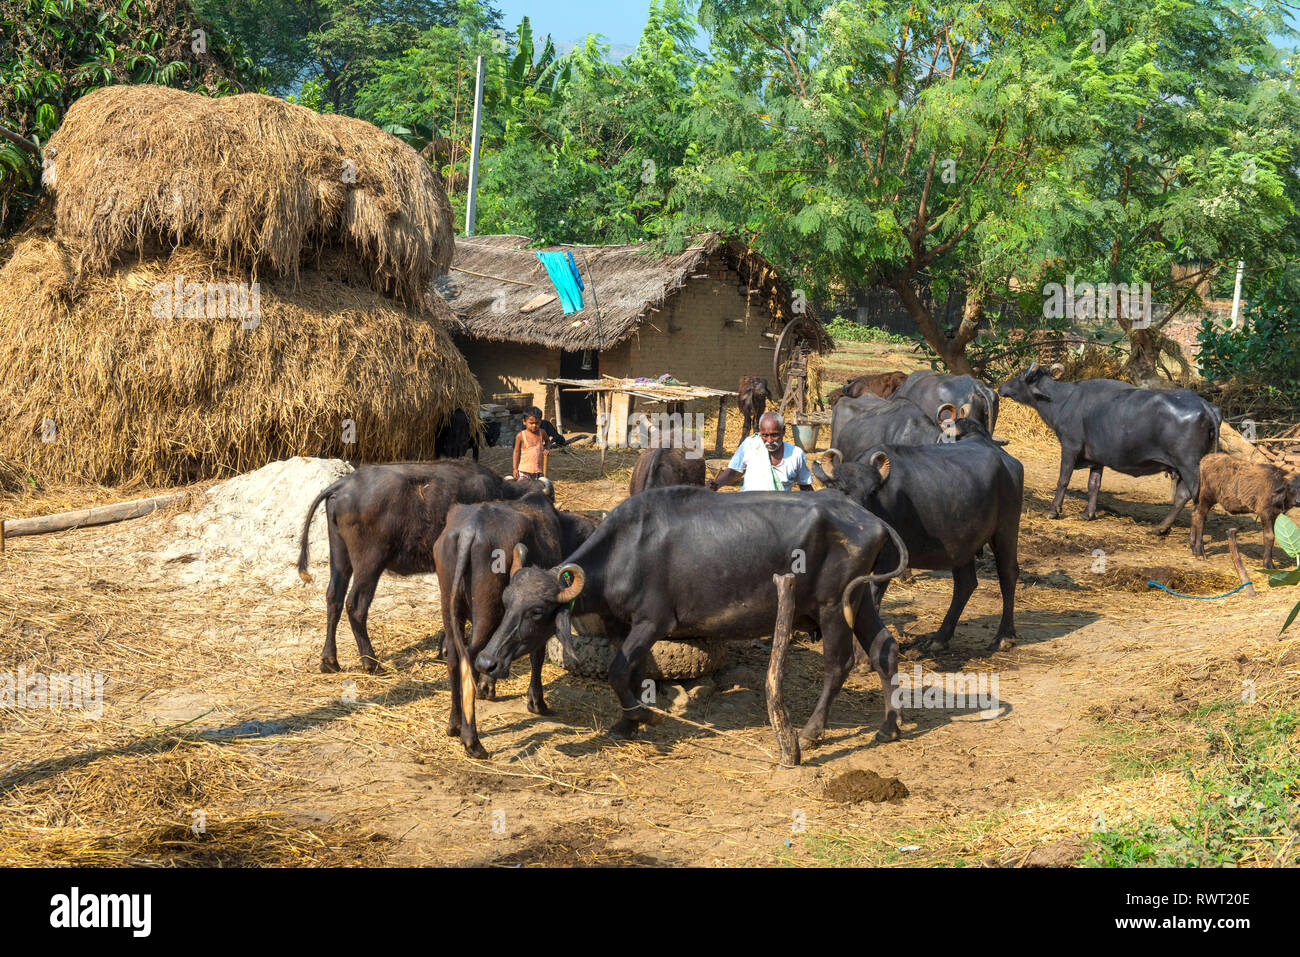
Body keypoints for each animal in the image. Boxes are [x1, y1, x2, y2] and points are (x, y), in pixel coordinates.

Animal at [297, 462, 551, 670]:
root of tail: (343, 484)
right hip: (369, 562)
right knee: (356, 605)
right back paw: (371, 663)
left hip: (340, 556)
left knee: (334, 598)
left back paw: (329, 661)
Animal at [436, 494, 598, 754]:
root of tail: (469, 529)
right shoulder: (539, 623)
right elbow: (536, 656)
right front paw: (536, 702)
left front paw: (488, 688)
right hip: (486, 613)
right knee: (469, 659)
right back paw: (472, 740)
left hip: (449, 607)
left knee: (453, 657)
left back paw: (454, 725)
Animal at [473, 486, 909, 748]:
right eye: (507, 601)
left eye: (537, 611)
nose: (486, 662)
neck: (625, 552)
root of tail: (868, 517)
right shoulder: (623, 626)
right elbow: (632, 672)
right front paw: (627, 723)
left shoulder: (653, 623)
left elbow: (617, 671)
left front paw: (642, 716)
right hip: (861, 600)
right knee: (884, 649)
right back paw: (889, 727)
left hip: (834, 607)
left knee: (840, 663)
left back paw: (812, 732)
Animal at [816, 421, 1019, 655]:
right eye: (840, 488)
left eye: (873, 491)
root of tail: (1006, 461)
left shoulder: (889, 560)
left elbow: (873, 600)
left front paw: (862, 654)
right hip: (963, 544)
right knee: (965, 583)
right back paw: (939, 638)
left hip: (1006, 529)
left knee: (1008, 574)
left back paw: (1003, 637)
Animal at [993, 364, 1216, 530]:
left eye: (1021, 375)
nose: (1001, 388)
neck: (1063, 400)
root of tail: (1205, 406)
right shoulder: (1096, 458)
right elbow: (1094, 484)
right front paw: (1087, 514)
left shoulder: (1070, 446)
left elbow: (1063, 479)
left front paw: (1052, 511)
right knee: (1182, 495)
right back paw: (1161, 527)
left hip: (1189, 466)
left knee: (1194, 495)